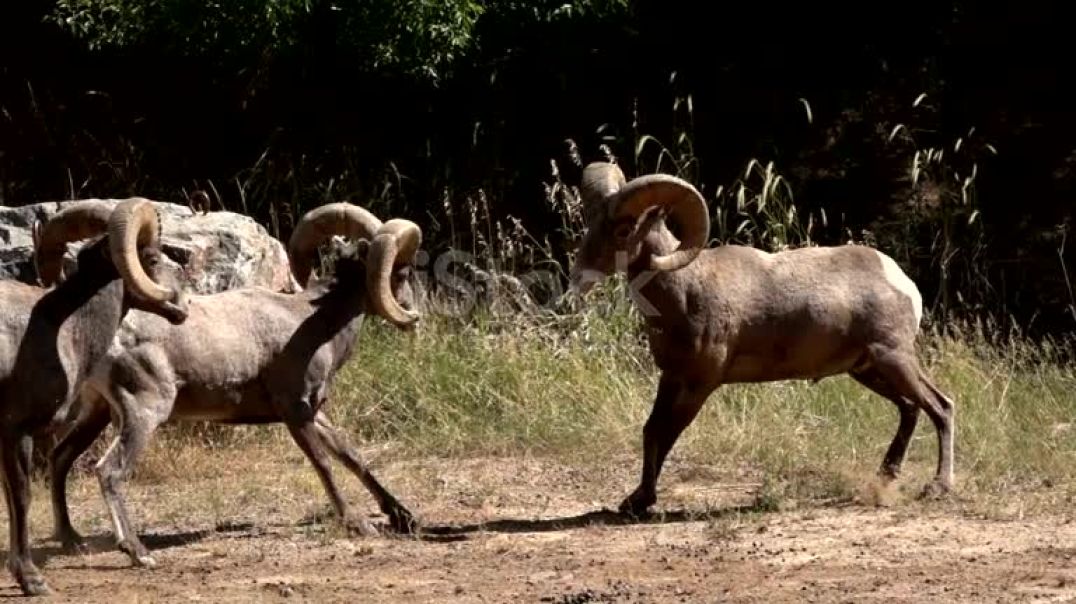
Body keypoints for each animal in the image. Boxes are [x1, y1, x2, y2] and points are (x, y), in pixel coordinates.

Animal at [0, 199, 189, 594]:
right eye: (151, 257)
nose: (181, 306)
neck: (60, 329)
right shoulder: (16, 431)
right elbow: (21, 497)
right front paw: (31, 580)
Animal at [47, 201, 423, 564]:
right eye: (401, 272)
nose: (412, 313)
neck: (315, 322)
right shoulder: (295, 411)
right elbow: (324, 463)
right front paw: (357, 523)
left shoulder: (315, 413)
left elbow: (352, 457)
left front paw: (403, 517)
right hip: (144, 412)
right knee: (109, 471)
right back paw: (137, 552)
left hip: (96, 412)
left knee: (59, 458)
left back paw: (72, 541)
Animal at [568, 160, 955, 512]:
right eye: (592, 220)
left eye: (623, 230)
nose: (579, 276)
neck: (687, 289)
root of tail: (902, 283)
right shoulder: (672, 377)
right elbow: (651, 431)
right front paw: (635, 500)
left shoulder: (699, 384)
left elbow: (668, 433)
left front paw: (645, 502)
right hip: (868, 370)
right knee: (910, 408)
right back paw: (885, 477)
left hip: (894, 359)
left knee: (941, 407)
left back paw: (938, 488)